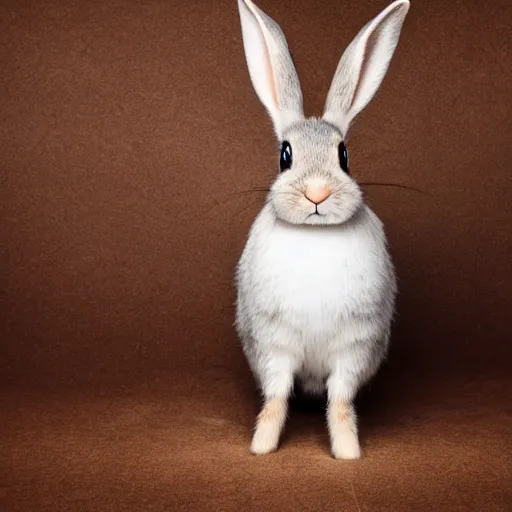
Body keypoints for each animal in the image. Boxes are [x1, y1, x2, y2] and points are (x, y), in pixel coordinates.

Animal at [234, 0, 410, 460]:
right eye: (285, 155)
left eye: (344, 155)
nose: (318, 192)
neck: (315, 237)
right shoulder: (274, 347)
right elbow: (276, 398)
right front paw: (261, 447)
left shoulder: (353, 349)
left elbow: (342, 402)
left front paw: (348, 453)